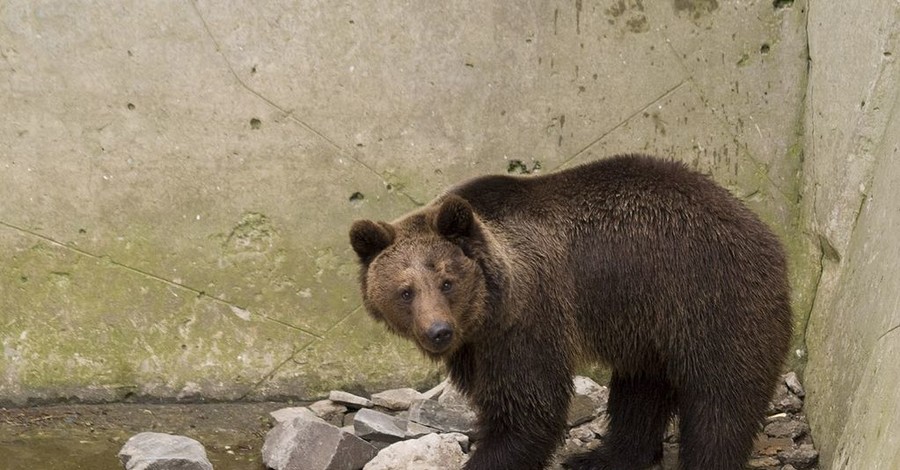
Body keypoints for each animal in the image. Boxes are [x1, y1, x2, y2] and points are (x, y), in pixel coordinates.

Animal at [348, 155, 792, 470]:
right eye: (405, 291)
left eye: (446, 281)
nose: (438, 331)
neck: (489, 310)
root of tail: (765, 231)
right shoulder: (479, 345)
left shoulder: (530, 316)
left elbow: (529, 408)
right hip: (647, 323)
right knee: (641, 390)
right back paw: (603, 457)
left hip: (710, 296)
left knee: (721, 398)